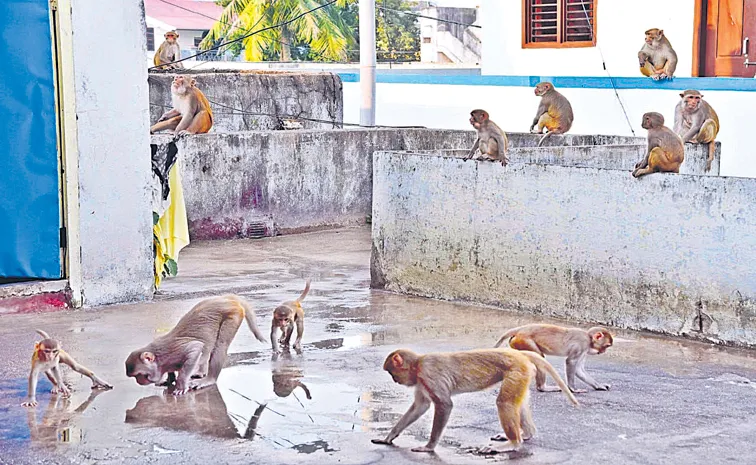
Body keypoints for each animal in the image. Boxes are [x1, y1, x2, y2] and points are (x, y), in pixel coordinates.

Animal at [125, 294, 266, 396]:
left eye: (139, 375)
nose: (139, 382)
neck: (160, 360)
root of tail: (226, 299)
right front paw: (169, 379)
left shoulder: (174, 352)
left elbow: (195, 348)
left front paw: (180, 385)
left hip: (233, 314)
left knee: (221, 345)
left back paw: (209, 379)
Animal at [371, 348, 578, 454]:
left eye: (392, 372)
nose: (394, 380)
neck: (419, 363)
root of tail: (518, 354)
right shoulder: (422, 382)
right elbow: (420, 407)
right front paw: (389, 437)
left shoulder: (429, 375)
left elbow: (444, 405)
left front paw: (429, 447)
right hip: (523, 374)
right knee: (517, 402)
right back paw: (526, 434)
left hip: (517, 371)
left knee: (504, 403)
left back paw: (513, 443)